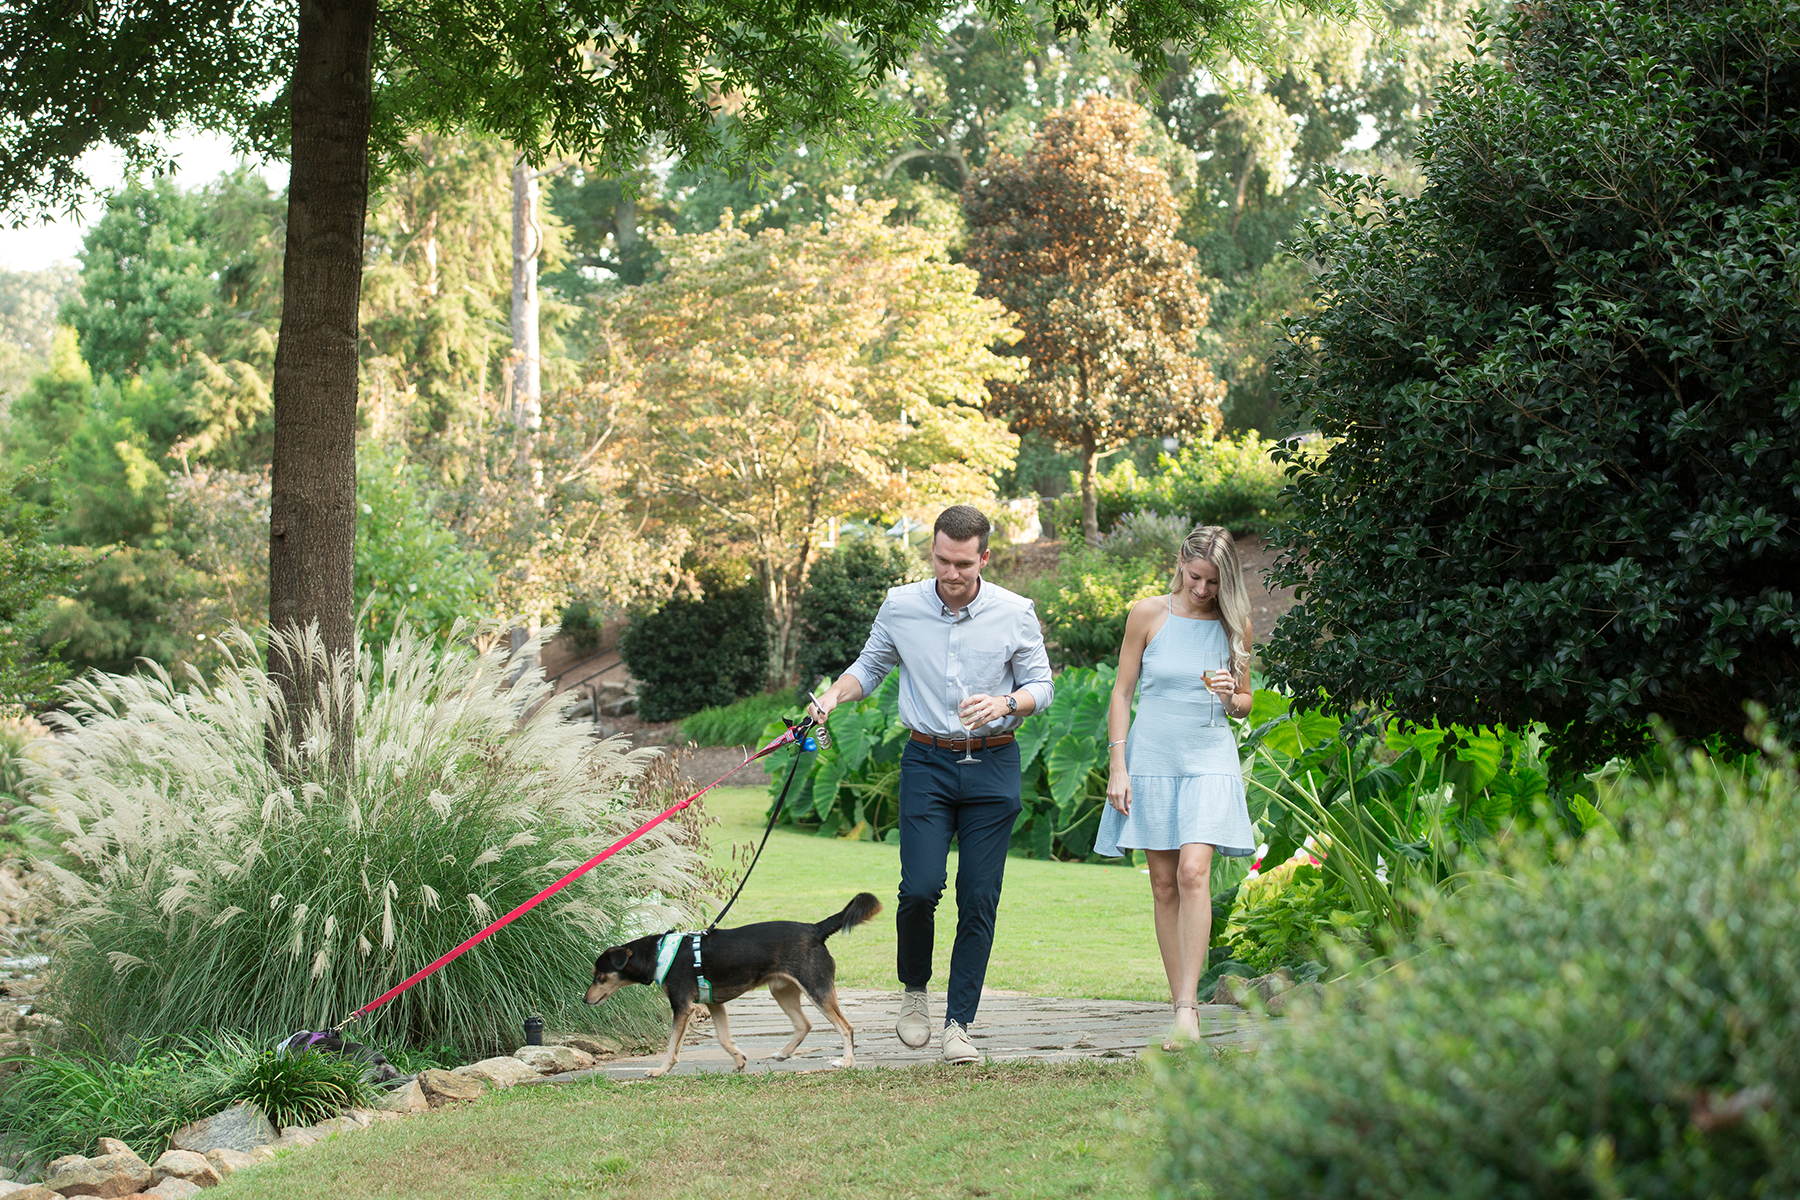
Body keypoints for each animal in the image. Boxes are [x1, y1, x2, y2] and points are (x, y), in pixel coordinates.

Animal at [583, 892, 878, 1079]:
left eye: (599, 976)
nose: (585, 1000)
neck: (657, 953)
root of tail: (815, 929)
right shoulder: (714, 1003)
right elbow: (724, 1039)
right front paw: (738, 1060)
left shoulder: (683, 1007)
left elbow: (672, 1047)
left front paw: (660, 1070)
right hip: (782, 990)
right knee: (803, 1024)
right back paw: (783, 1054)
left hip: (816, 988)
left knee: (846, 1027)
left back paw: (847, 1061)